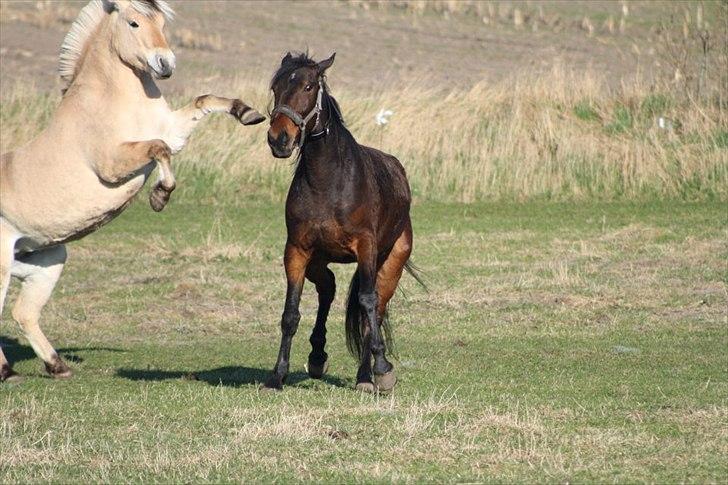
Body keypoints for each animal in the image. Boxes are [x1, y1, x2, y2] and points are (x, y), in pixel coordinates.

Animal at [0, 0, 266, 382]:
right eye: (134, 23)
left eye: (162, 22)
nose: (165, 64)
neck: (112, 97)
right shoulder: (112, 165)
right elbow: (158, 149)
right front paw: (160, 196)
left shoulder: (172, 129)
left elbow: (201, 103)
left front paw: (248, 113)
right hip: (3, 264)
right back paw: (8, 372)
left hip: (47, 261)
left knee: (24, 313)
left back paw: (57, 367)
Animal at [266, 52, 420, 394]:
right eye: (275, 87)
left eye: (309, 86)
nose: (279, 139)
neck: (329, 182)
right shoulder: (296, 251)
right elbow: (290, 313)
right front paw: (277, 375)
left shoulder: (366, 250)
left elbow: (366, 303)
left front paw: (382, 369)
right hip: (318, 262)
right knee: (329, 289)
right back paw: (317, 356)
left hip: (391, 264)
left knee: (372, 311)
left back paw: (367, 376)